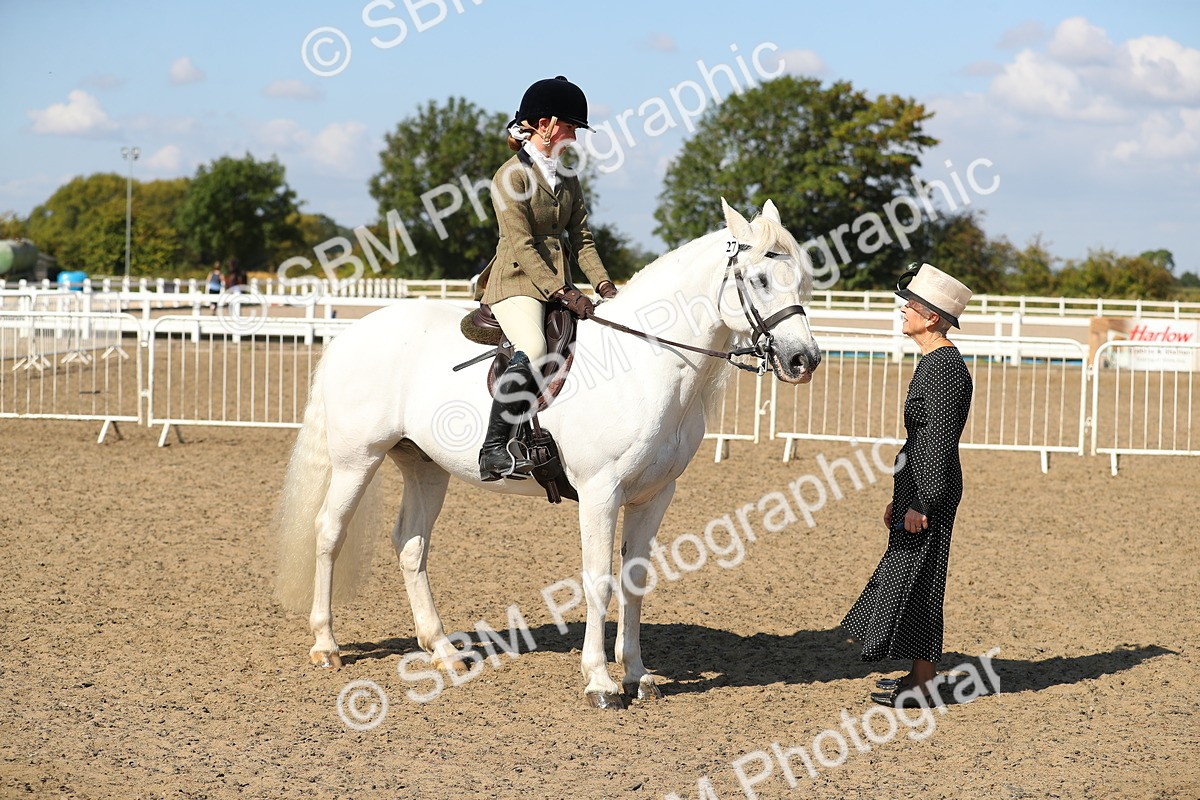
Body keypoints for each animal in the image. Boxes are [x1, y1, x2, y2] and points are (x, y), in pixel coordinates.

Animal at [274, 198, 822, 709]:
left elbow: (635, 581)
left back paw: (443, 650)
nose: (803, 360)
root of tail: (353, 333)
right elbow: (599, 581)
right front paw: (600, 682)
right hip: (357, 460)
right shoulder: (601, 493)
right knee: (330, 532)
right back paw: (326, 644)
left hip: (425, 467)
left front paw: (637, 675)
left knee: (411, 544)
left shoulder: (654, 496)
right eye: (759, 279)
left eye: (803, 282)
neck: (645, 364)